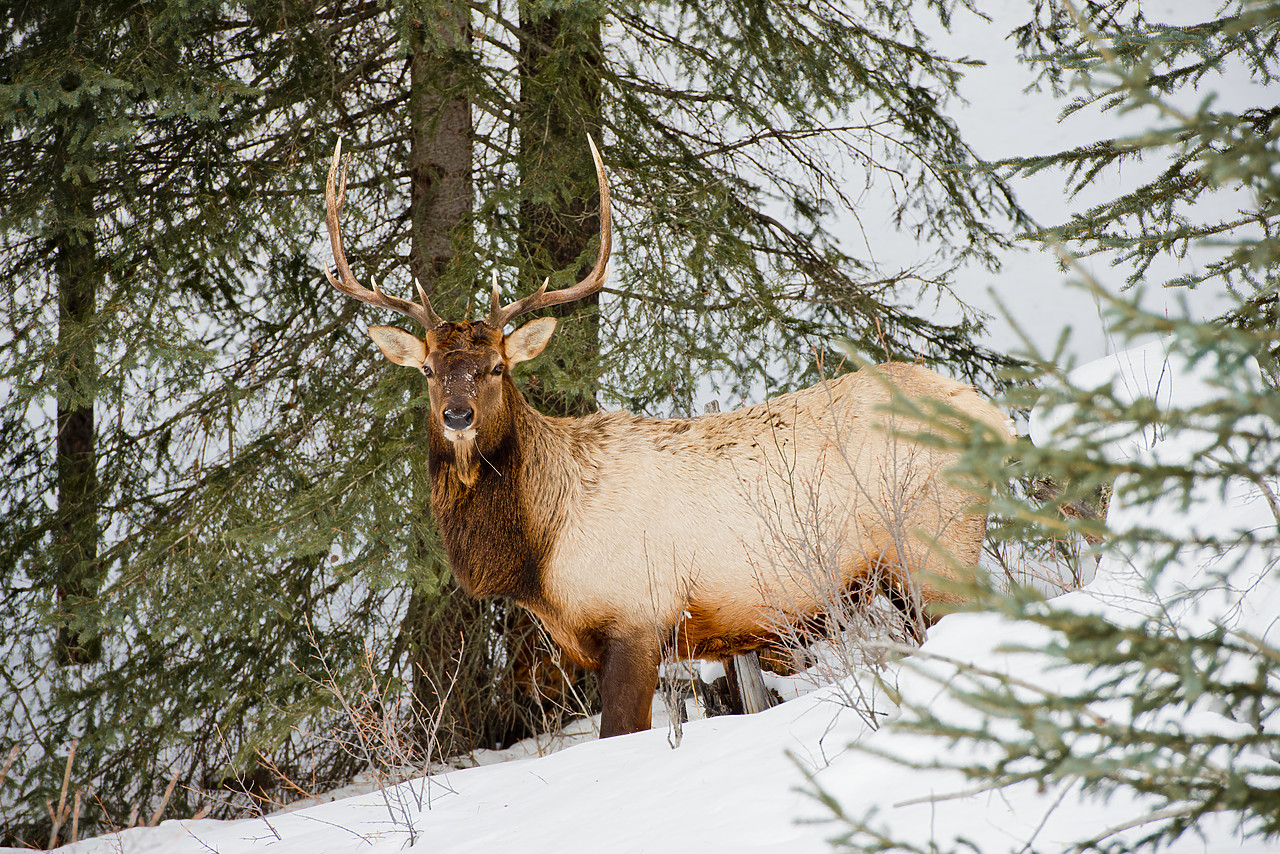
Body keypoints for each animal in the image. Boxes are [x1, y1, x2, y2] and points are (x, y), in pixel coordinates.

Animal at [325, 136, 1013, 737]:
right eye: (429, 370)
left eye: (496, 366)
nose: (458, 415)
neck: (541, 552)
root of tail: (994, 414)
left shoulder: (634, 620)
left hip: (934, 548)